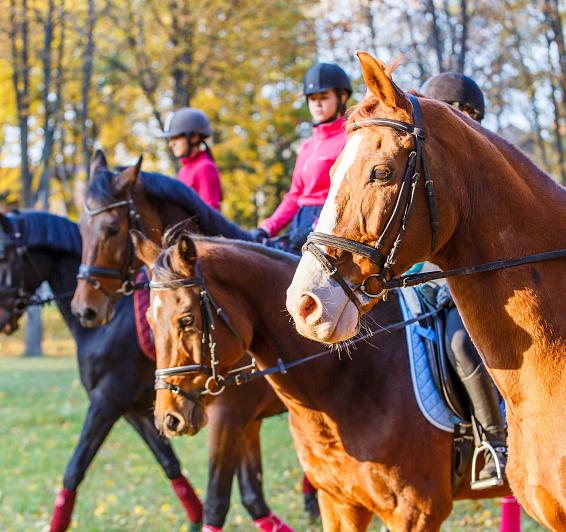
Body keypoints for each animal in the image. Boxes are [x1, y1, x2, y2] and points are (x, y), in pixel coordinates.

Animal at [0, 212, 204, 532]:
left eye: (1, 256)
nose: (2, 320)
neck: (111, 319)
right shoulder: (136, 411)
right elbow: (170, 465)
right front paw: (197, 517)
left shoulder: (106, 402)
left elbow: (74, 469)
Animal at [71, 152, 308, 528]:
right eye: (81, 228)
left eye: (111, 229)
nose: (85, 308)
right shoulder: (240, 419)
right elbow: (250, 495)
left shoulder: (229, 416)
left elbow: (219, 500)